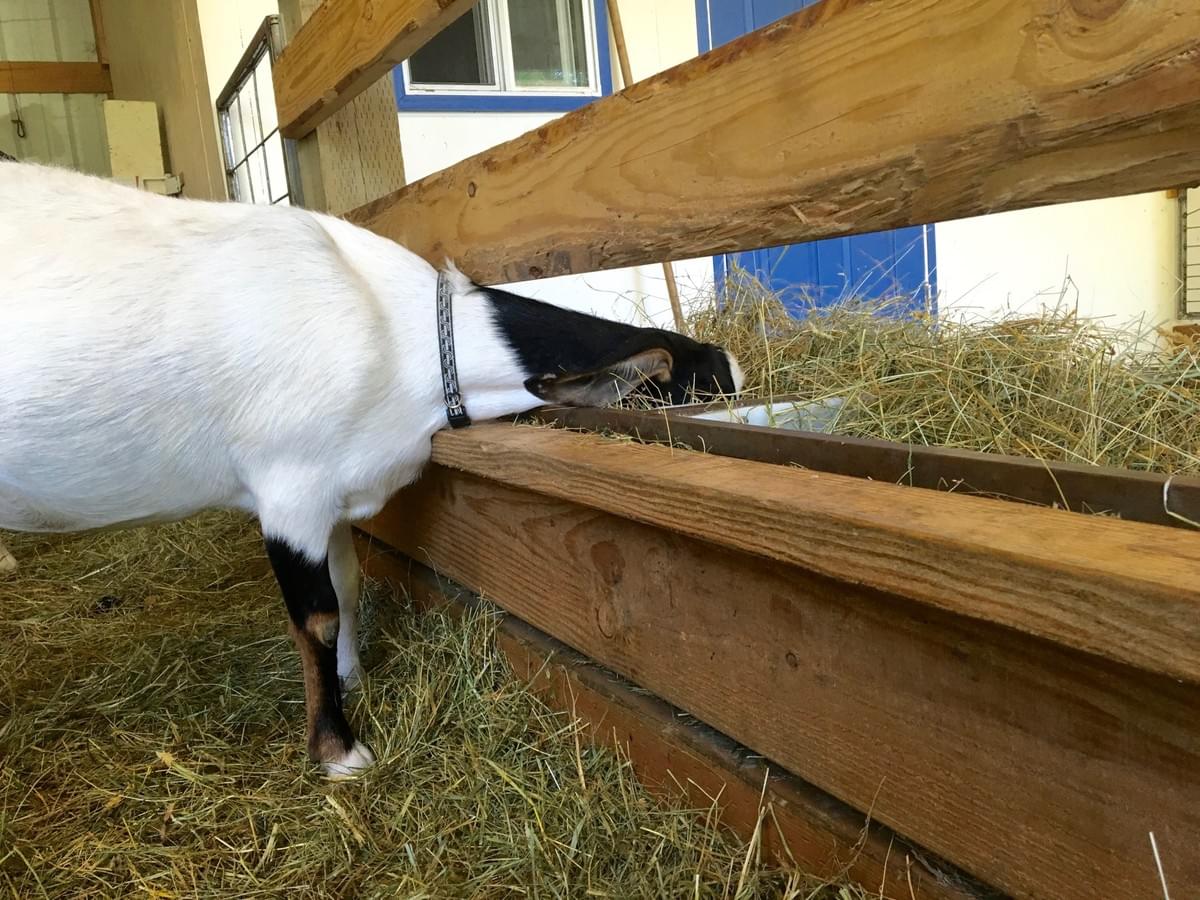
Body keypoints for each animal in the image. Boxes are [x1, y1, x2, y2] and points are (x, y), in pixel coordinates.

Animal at [0, 162, 743, 778]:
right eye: (696, 386)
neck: (395, 334)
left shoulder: (331, 491)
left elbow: (349, 586)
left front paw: (352, 676)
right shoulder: (291, 488)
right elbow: (318, 617)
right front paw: (338, 749)